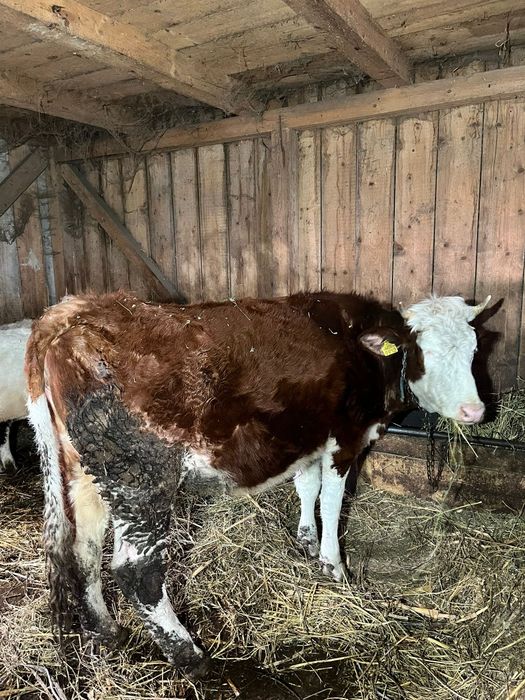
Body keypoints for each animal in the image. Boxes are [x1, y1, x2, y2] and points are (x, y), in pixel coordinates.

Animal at [25, 290, 490, 676]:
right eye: (422, 351)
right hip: (142, 477)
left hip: (84, 472)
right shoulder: (346, 437)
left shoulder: (308, 438)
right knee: (136, 569)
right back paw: (189, 655)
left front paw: (306, 541)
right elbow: (333, 501)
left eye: (473, 350)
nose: (475, 411)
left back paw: (106, 630)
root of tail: (77, 313)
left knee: (82, 547)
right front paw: (334, 566)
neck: (356, 346)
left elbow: (308, 487)